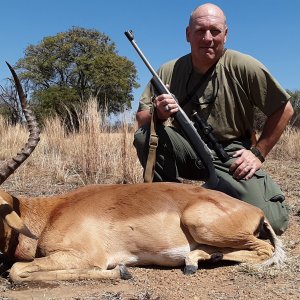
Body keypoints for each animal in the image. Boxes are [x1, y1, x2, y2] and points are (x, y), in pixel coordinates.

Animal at [0, 64, 284, 282]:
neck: (50, 214)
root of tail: (255, 211)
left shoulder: (85, 256)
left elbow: (17, 271)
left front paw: (122, 271)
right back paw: (197, 259)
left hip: (201, 224)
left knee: (264, 249)